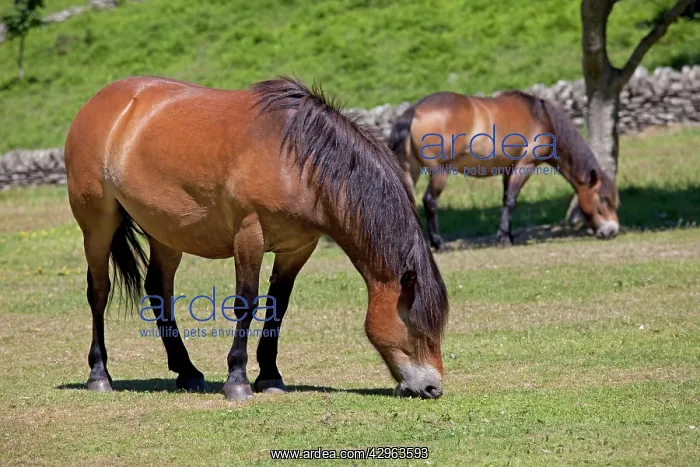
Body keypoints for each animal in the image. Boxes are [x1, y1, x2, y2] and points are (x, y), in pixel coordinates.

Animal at [64, 76, 449, 401]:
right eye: (416, 325)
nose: (433, 388)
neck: (295, 160)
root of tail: (99, 104)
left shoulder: (297, 248)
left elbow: (277, 307)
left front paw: (270, 375)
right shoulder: (250, 236)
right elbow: (246, 304)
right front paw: (238, 380)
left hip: (165, 232)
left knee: (159, 289)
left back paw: (187, 371)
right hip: (97, 226)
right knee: (99, 291)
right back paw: (100, 375)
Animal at [388, 90, 620, 250]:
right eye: (603, 199)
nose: (612, 231)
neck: (541, 117)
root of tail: (415, 110)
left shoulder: (509, 170)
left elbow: (506, 200)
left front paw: (507, 235)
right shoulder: (524, 166)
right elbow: (511, 201)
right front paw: (504, 238)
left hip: (410, 170)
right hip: (440, 172)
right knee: (430, 201)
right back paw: (438, 243)